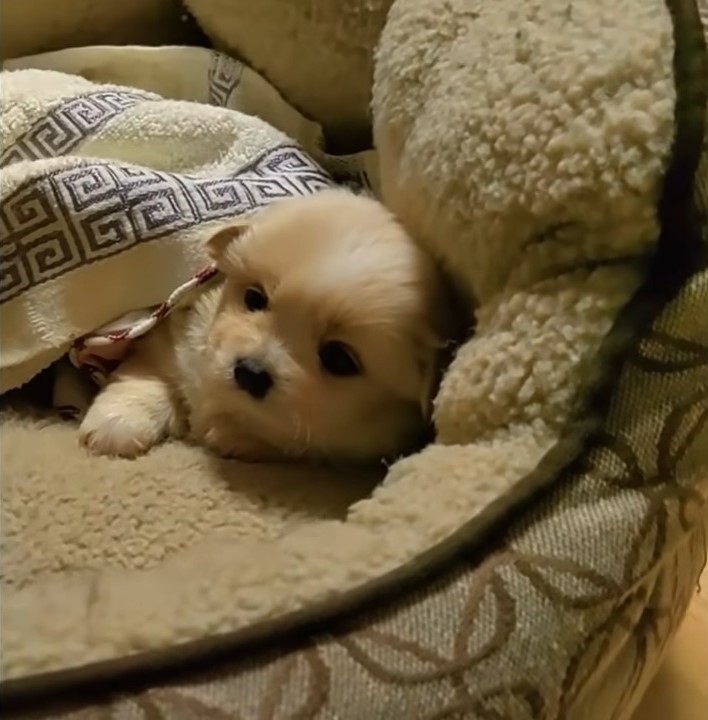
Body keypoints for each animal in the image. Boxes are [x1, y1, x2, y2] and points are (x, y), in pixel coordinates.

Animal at [77, 188, 454, 464]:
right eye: (255, 298)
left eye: (338, 358)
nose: (250, 372)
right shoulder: (169, 333)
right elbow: (149, 372)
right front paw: (117, 423)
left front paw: (230, 433)